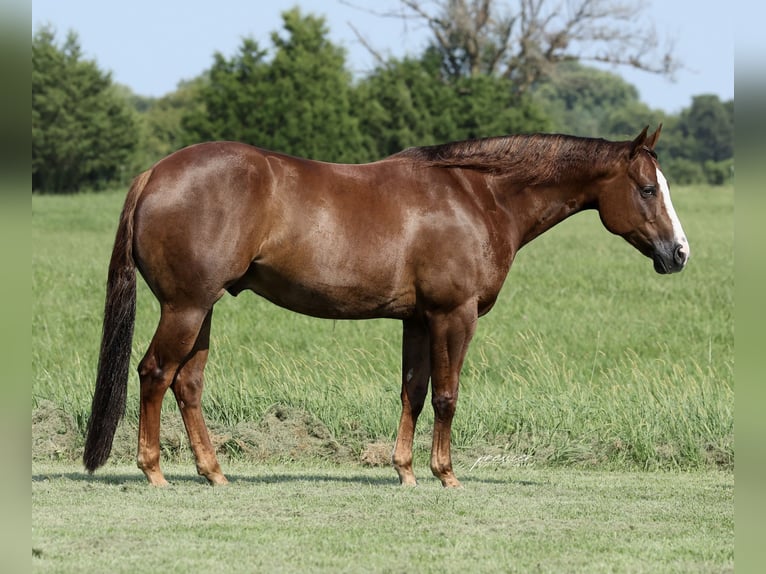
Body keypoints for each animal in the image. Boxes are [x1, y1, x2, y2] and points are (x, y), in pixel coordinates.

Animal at [83, 125, 689, 488]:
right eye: (648, 189)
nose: (678, 253)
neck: (477, 197)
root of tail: (155, 174)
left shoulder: (417, 320)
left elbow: (413, 393)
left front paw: (406, 472)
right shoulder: (453, 316)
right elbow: (446, 396)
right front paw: (446, 475)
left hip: (201, 310)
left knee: (187, 383)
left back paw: (214, 473)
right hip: (185, 308)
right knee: (155, 373)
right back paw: (154, 473)